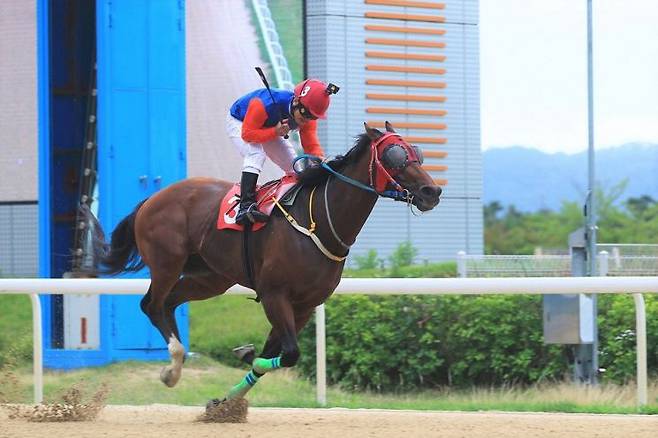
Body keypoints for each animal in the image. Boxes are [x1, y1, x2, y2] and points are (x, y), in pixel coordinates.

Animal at [86, 120, 436, 408]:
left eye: (416, 152)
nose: (432, 191)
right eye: (394, 155)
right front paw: (242, 365)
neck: (319, 221)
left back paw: (178, 362)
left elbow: (272, 354)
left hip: (210, 278)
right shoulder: (274, 295)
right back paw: (172, 367)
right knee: (151, 304)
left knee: (170, 302)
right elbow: (289, 353)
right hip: (167, 263)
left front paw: (227, 398)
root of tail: (153, 198)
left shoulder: (305, 305)